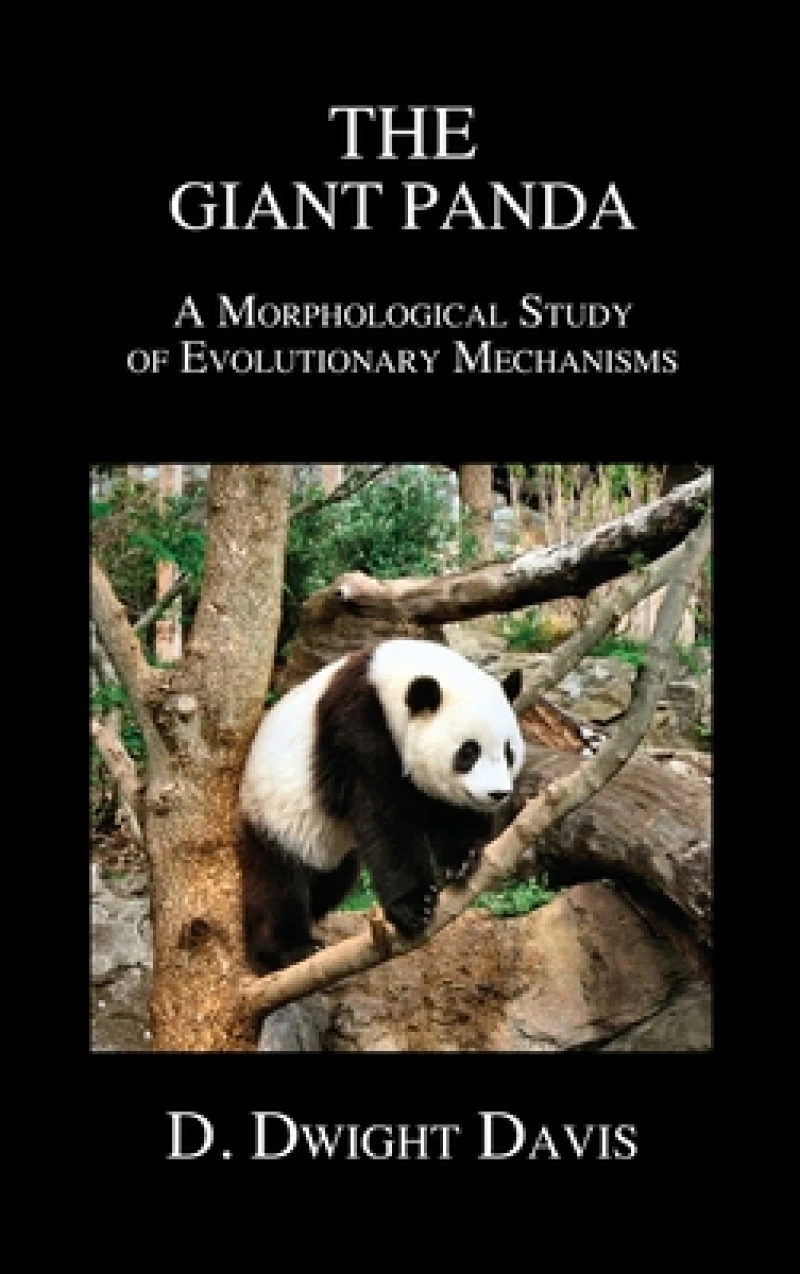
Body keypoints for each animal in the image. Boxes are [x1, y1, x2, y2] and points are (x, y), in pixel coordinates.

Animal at [238, 638, 525, 973]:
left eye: (508, 752)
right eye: (468, 752)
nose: (497, 794)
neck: (385, 681)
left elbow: (445, 809)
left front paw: (463, 859)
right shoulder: (354, 725)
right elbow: (383, 814)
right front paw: (415, 906)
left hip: (325, 845)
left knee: (334, 879)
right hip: (271, 815)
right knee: (277, 884)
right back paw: (288, 950)